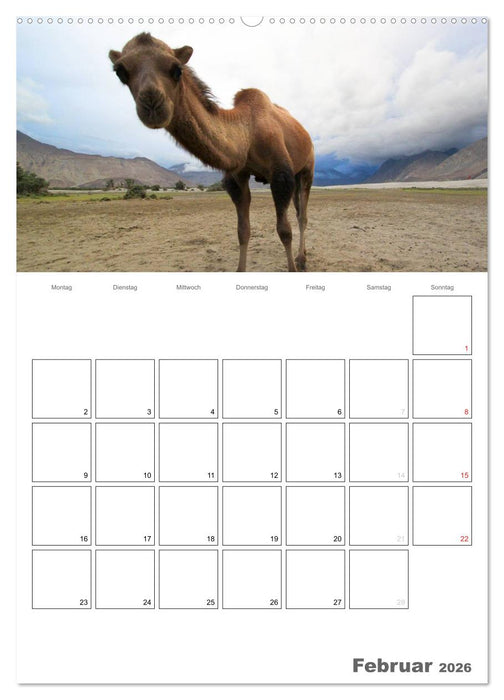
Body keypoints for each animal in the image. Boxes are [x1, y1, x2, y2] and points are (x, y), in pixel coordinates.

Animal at [109, 33, 314, 271]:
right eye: (120, 72)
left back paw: (301, 259)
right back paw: (302, 255)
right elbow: (243, 231)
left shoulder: (281, 174)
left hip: (307, 168)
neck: (247, 133)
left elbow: (284, 231)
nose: (152, 104)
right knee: (299, 212)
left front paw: (292, 267)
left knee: (302, 215)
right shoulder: (237, 177)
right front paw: (240, 269)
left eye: (176, 69)